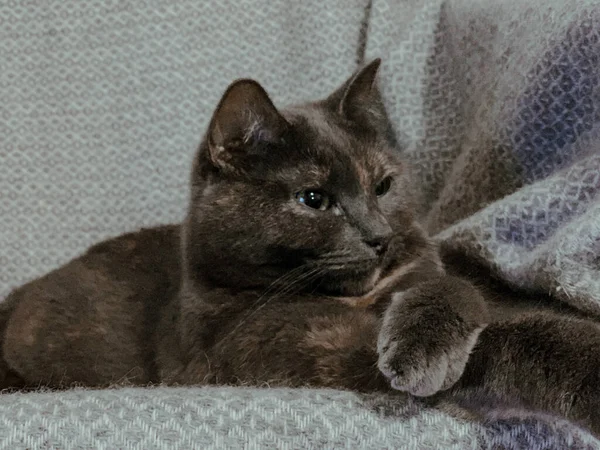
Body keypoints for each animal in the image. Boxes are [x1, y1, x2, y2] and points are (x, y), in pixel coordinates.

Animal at [1, 59, 600, 436]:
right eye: (314, 199)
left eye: (383, 185)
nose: (378, 236)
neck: (363, 299)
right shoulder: (296, 352)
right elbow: (511, 337)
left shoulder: (427, 274)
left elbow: (461, 290)